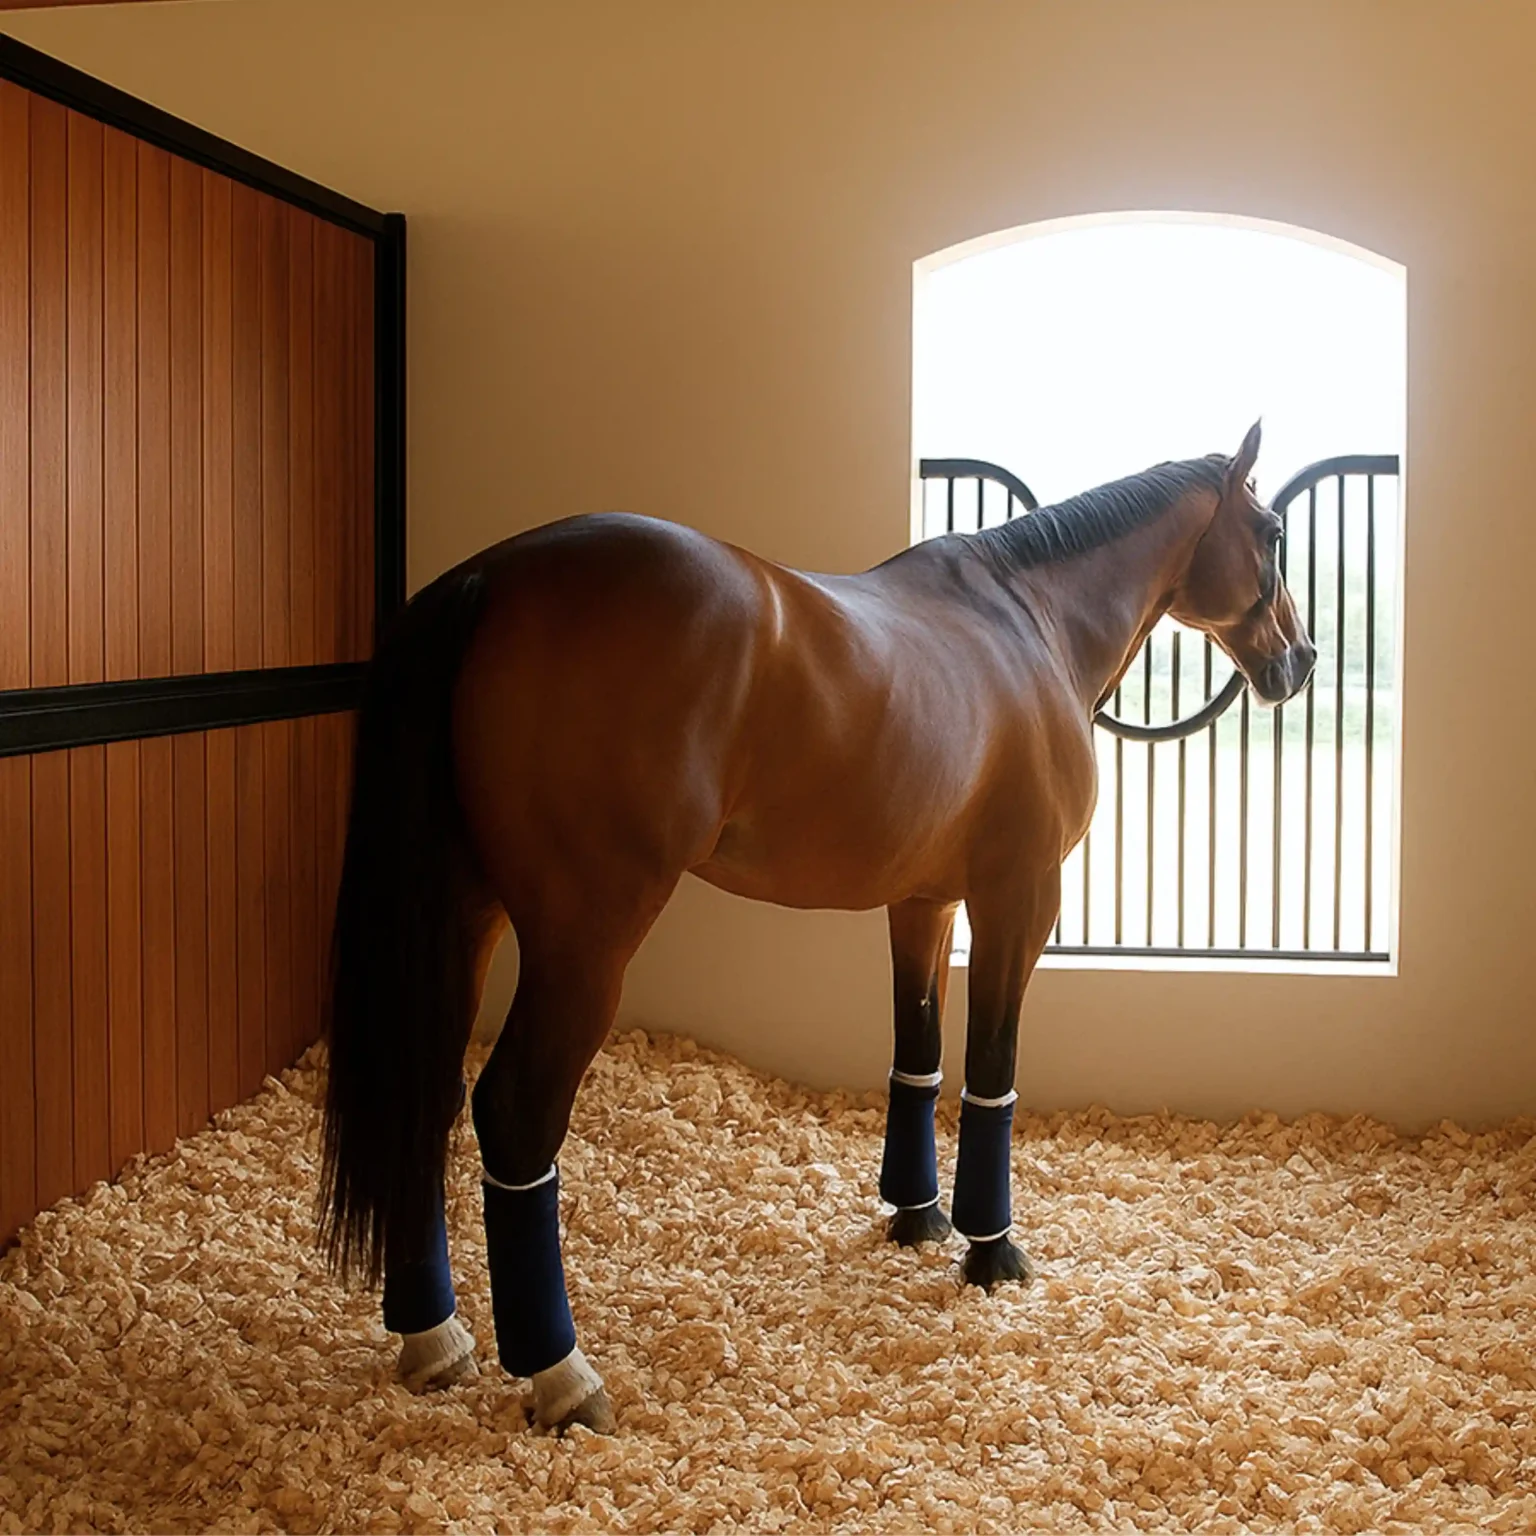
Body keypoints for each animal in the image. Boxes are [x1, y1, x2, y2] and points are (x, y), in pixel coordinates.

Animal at [319, 420, 1314, 1434]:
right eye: (1271, 531)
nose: (1300, 660)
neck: (1028, 621)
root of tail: (491, 579)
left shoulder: (923, 903)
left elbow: (918, 1057)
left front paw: (917, 1218)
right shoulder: (1019, 897)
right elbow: (991, 1072)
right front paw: (991, 1250)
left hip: (464, 916)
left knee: (428, 1093)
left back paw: (432, 1336)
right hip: (584, 939)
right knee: (516, 1116)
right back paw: (561, 1373)